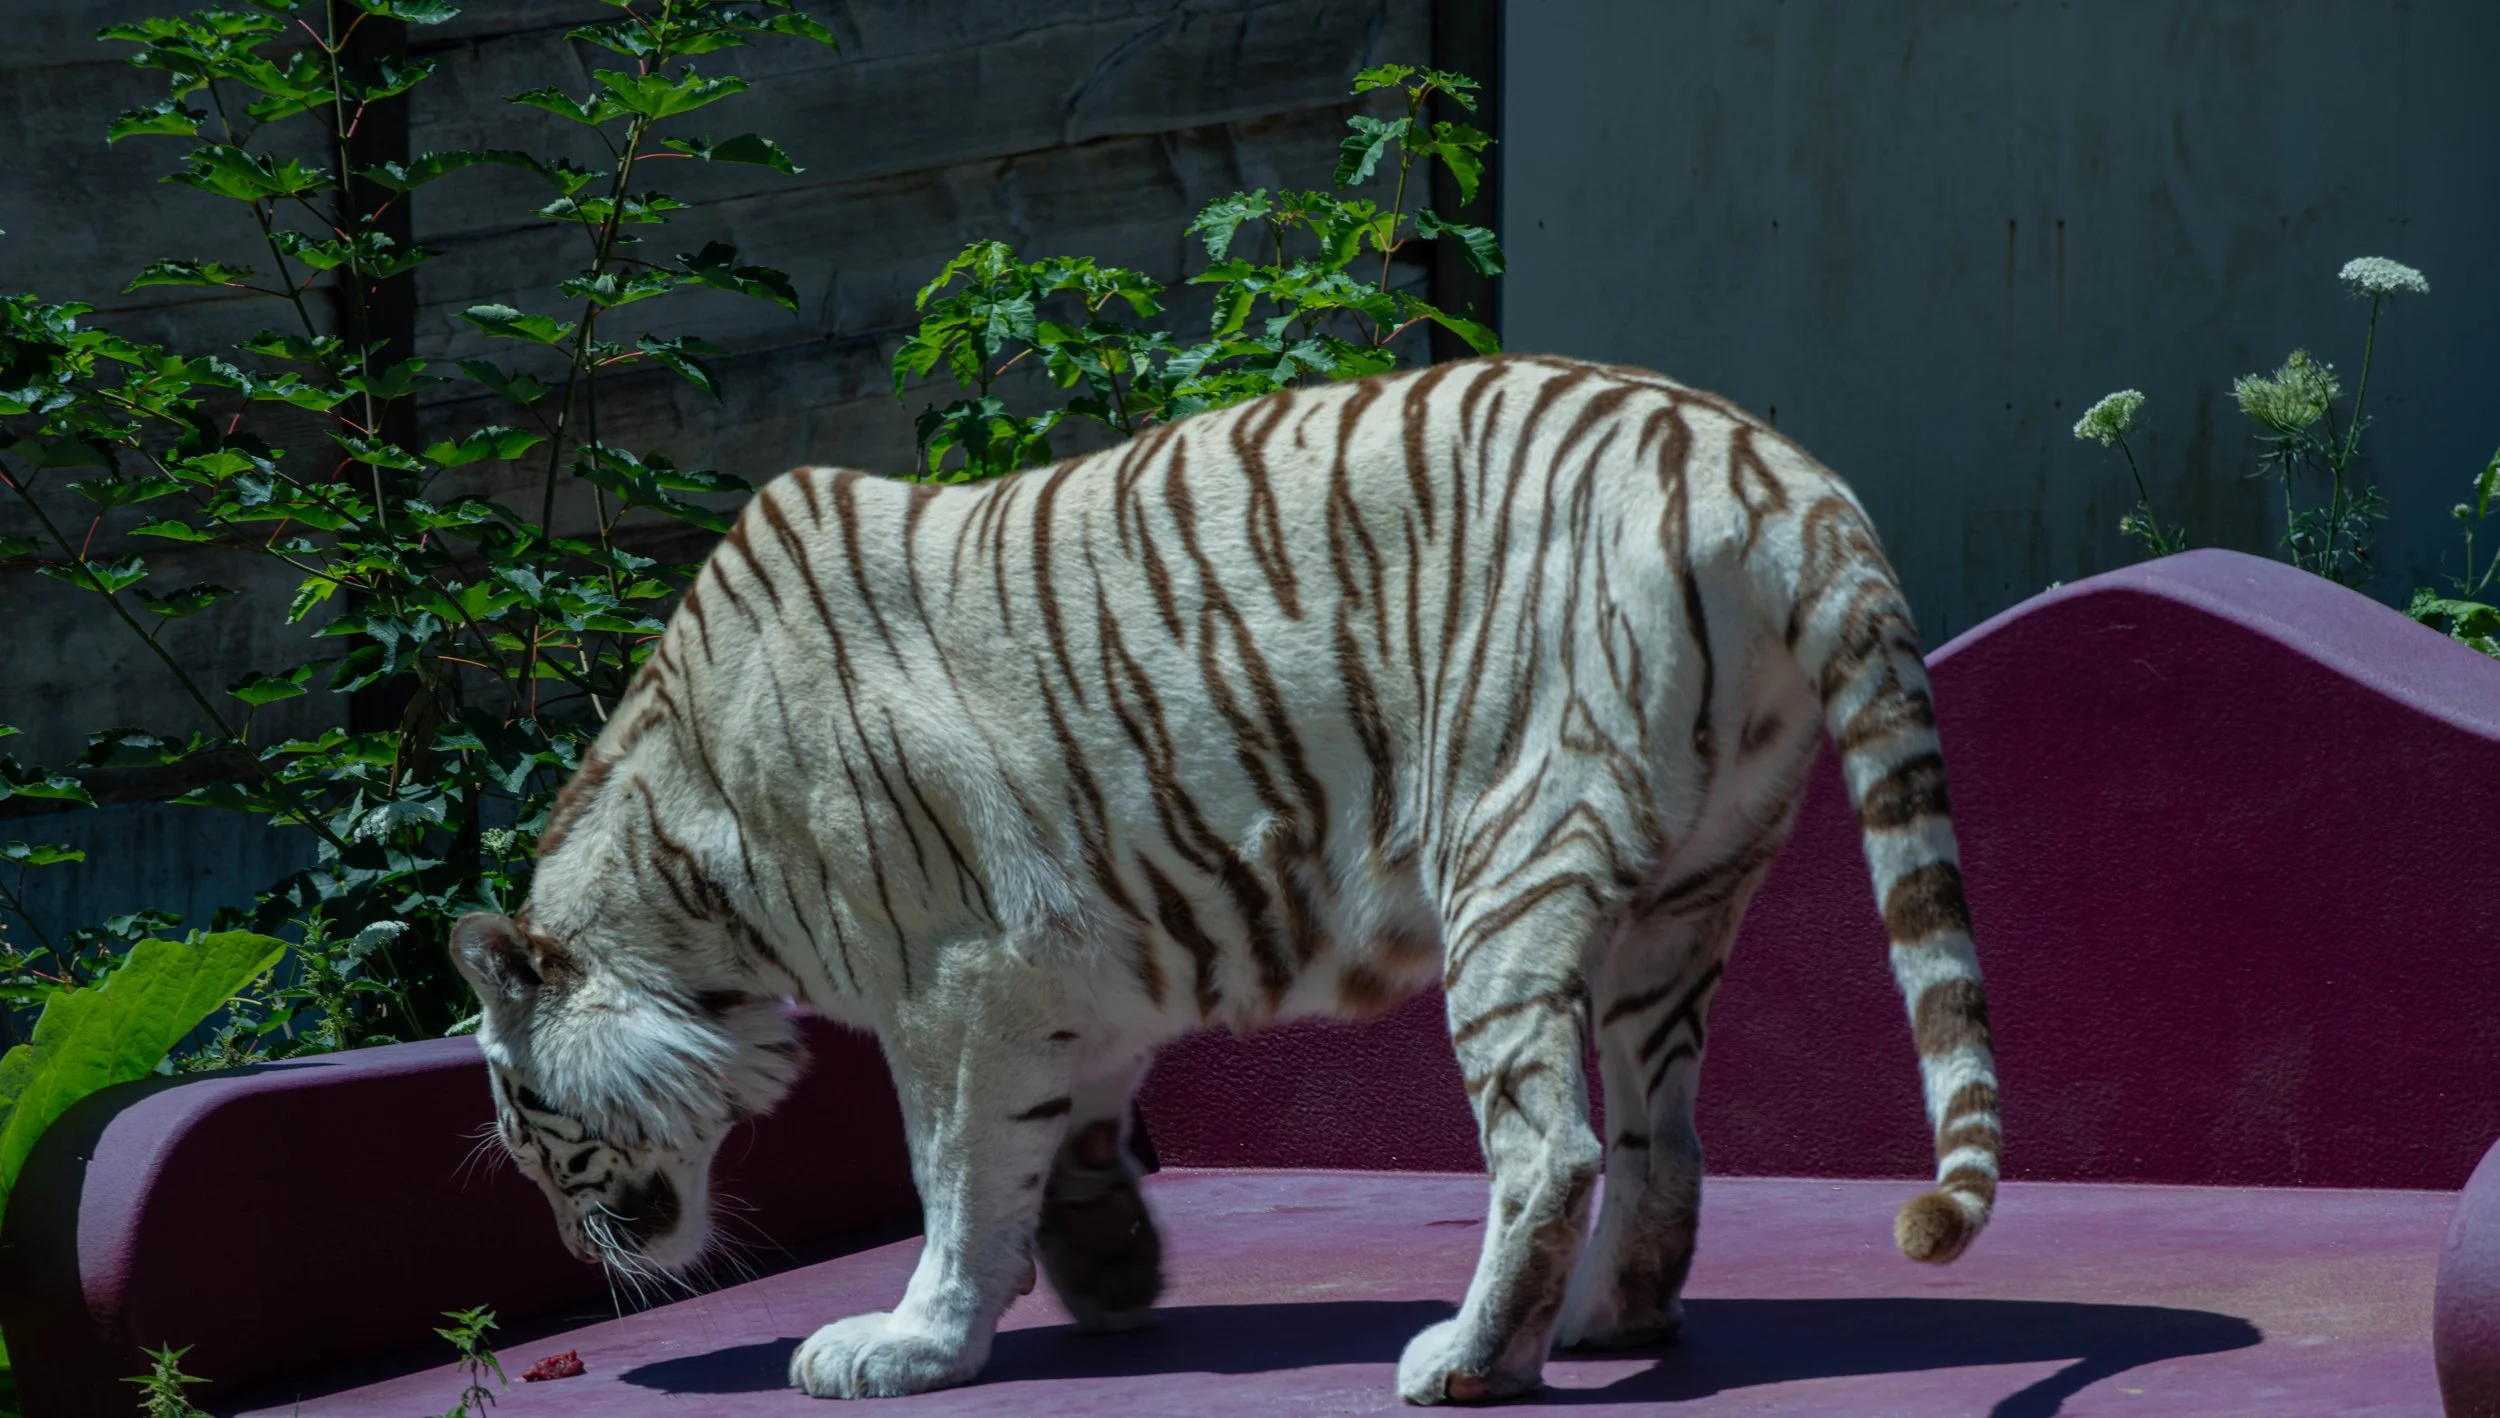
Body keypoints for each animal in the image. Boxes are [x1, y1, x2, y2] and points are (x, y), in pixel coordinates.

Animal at [449, 353, 2002, 1405]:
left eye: (531, 1127)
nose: (583, 1250)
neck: (687, 875)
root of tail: (1771, 472)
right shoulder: (1070, 963)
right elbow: (1062, 1129)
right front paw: (1108, 1265)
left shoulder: (952, 974)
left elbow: (952, 1171)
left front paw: (909, 1341)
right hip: (1684, 898)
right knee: (1660, 1137)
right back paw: (1611, 1319)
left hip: (1509, 858)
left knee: (1550, 1147)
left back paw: (1469, 1359)